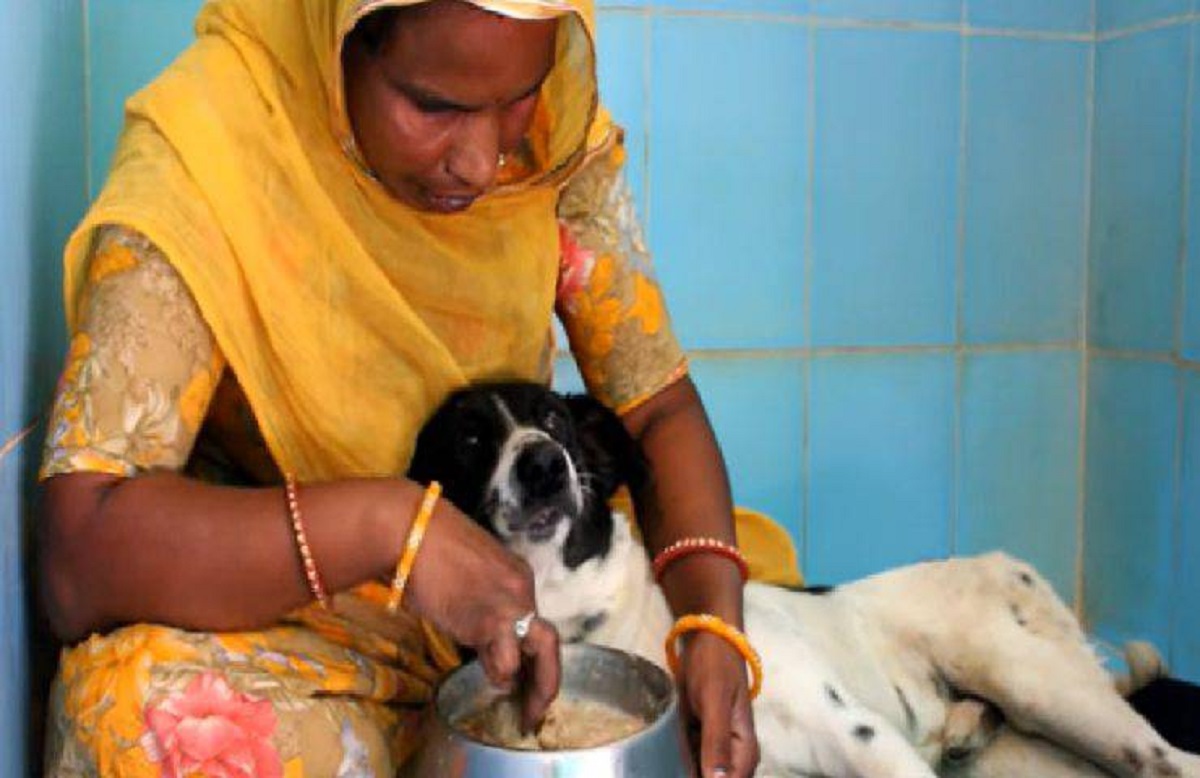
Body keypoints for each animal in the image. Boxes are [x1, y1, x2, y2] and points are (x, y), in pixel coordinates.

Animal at [410, 384, 1200, 778]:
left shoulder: (850, 732)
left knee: (1163, 757)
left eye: (553, 420)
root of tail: (1010, 565)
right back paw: (964, 729)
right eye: (471, 438)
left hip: (1032, 677)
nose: (545, 463)